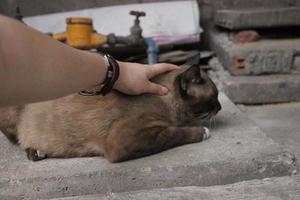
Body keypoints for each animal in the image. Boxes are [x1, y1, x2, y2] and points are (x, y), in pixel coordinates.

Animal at [0, 65, 220, 163]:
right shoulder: (125, 141)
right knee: (16, 139)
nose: (220, 107)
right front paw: (203, 131)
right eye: (214, 97)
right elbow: (173, 133)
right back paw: (35, 151)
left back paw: (37, 151)